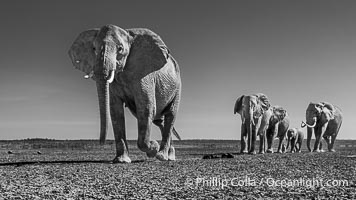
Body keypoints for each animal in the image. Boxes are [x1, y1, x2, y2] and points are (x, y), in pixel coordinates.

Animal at [68, 24, 182, 162]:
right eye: (93, 48)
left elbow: (146, 107)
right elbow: (116, 112)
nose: (101, 143)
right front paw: (121, 160)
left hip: (178, 87)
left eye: (120, 49)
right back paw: (168, 155)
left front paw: (153, 148)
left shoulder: (143, 74)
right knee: (160, 121)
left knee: (170, 115)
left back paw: (163, 156)